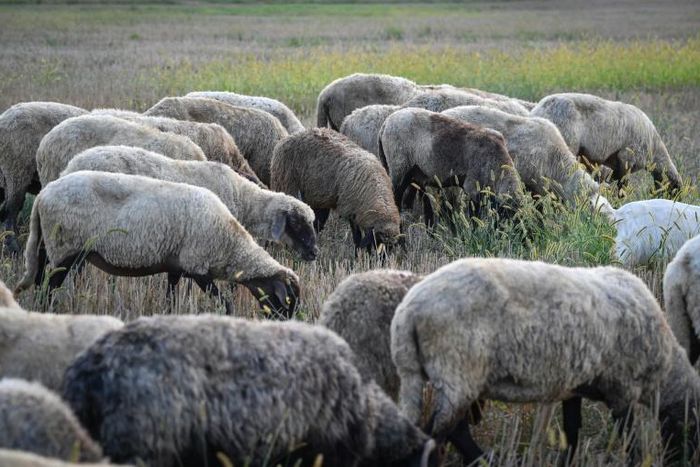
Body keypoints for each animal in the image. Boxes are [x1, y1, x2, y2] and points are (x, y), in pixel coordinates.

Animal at [15, 171, 300, 318]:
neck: (231, 247)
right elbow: (225, 304)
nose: (284, 324)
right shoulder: (198, 268)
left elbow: (170, 299)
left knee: (40, 281)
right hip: (66, 249)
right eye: (287, 302)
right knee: (48, 288)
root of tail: (42, 196)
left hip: (48, 245)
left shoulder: (176, 267)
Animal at [270, 128, 401, 251]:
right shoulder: (351, 209)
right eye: (378, 243)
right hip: (286, 186)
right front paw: (357, 254)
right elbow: (357, 237)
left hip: (316, 198)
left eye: (390, 248)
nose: (381, 259)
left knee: (316, 223)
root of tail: (287, 138)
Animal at [378, 107, 524, 226]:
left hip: (415, 173)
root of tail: (385, 124)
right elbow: (474, 219)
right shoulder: (472, 187)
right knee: (396, 198)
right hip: (399, 167)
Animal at [391, 257, 700, 464]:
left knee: (442, 432)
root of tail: (408, 313)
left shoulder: (574, 386)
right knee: (442, 432)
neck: (664, 368)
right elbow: (630, 440)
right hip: (458, 371)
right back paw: (482, 460)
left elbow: (572, 432)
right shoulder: (621, 388)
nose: (683, 460)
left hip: (438, 375)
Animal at [530, 93, 682, 191]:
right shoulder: (626, 158)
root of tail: (538, 110)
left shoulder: (600, 162)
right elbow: (621, 186)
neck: (654, 150)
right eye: (674, 193)